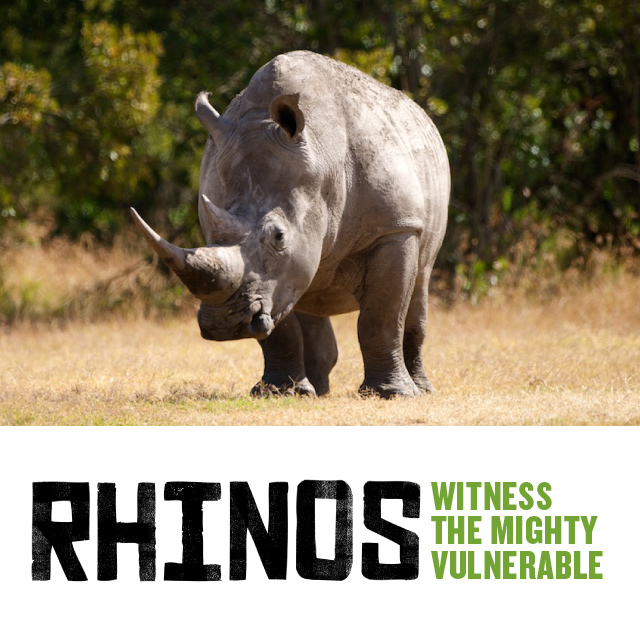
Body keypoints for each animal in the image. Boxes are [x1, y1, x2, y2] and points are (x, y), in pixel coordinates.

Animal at [131, 50, 449, 398]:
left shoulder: (395, 227)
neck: (323, 160)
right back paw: (315, 391)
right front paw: (279, 392)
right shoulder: (275, 276)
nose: (223, 324)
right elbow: (281, 325)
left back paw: (422, 390)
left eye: (279, 236)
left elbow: (381, 318)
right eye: (209, 233)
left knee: (419, 285)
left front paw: (391, 394)